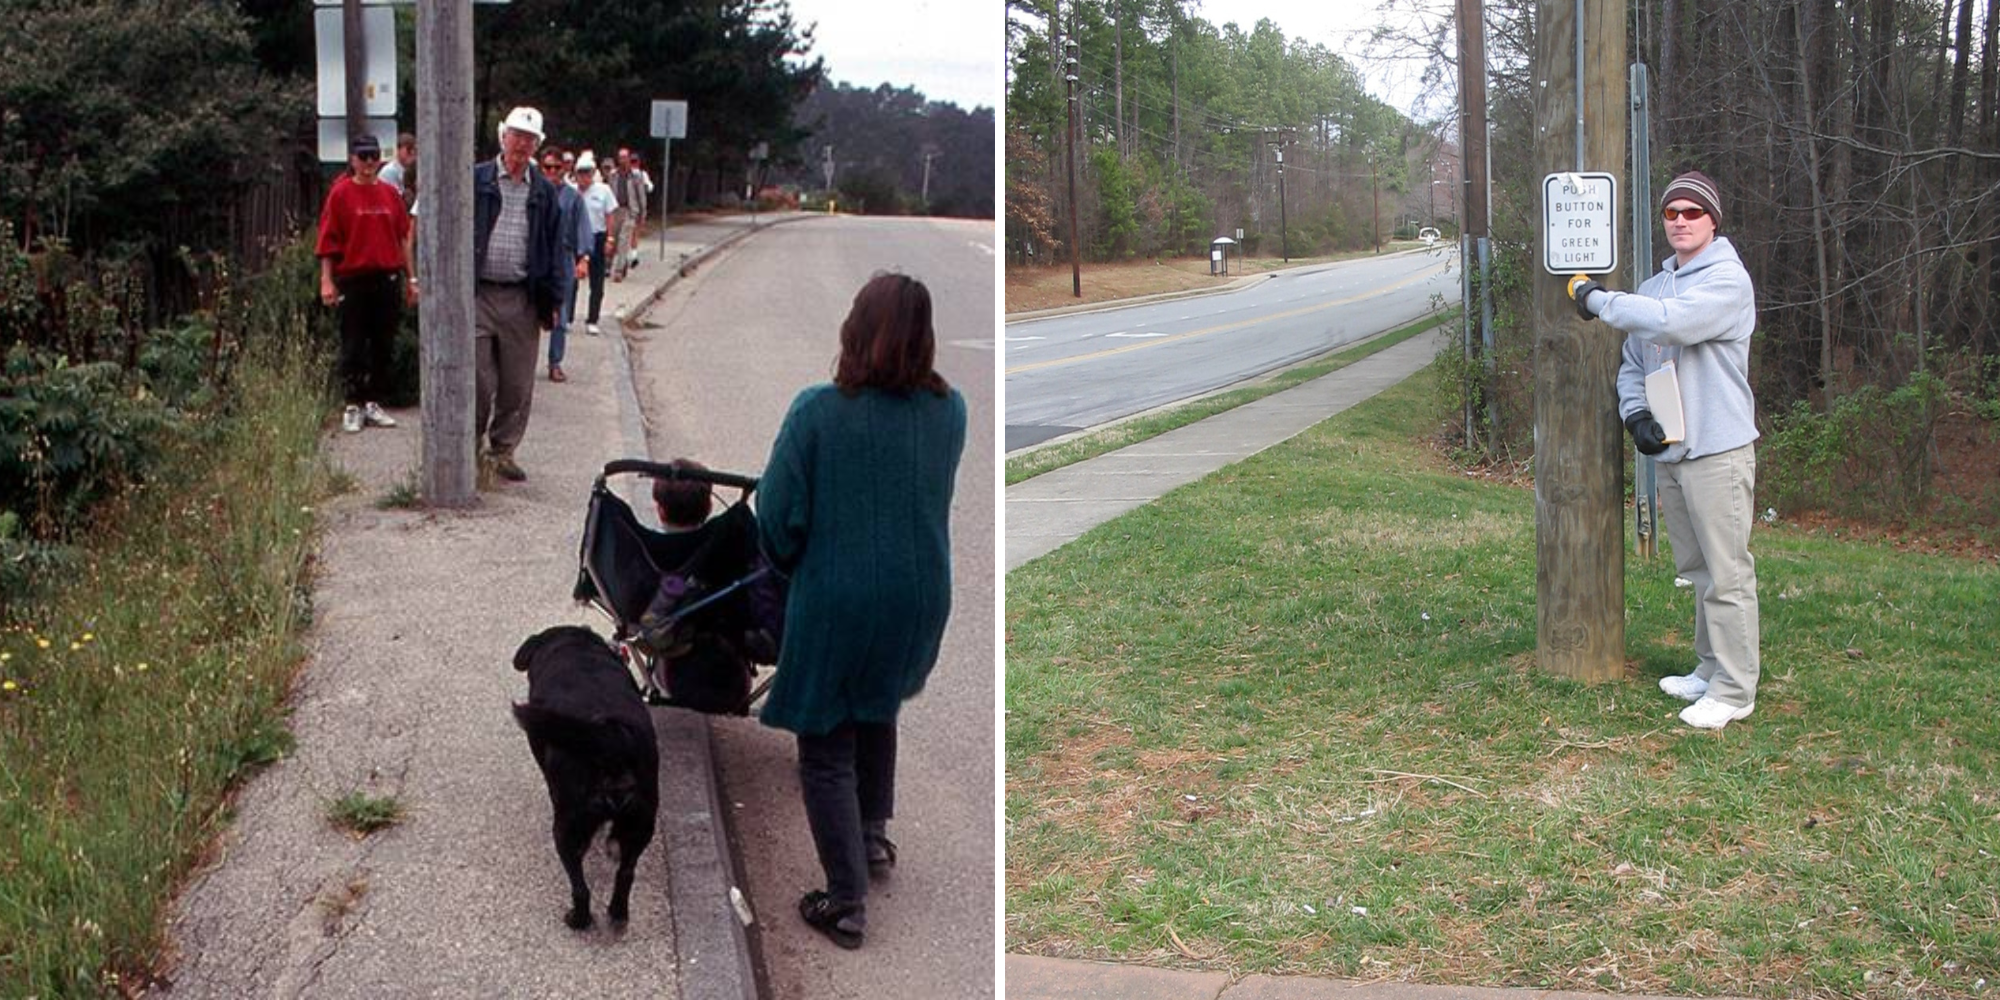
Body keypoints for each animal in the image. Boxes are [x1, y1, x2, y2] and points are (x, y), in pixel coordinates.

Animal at [512, 624, 660, 928]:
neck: (577, 648)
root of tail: (611, 735)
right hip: (641, 823)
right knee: (626, 874)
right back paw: (618, 914)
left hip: (568, 828)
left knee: (581, 888)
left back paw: (577, 919)